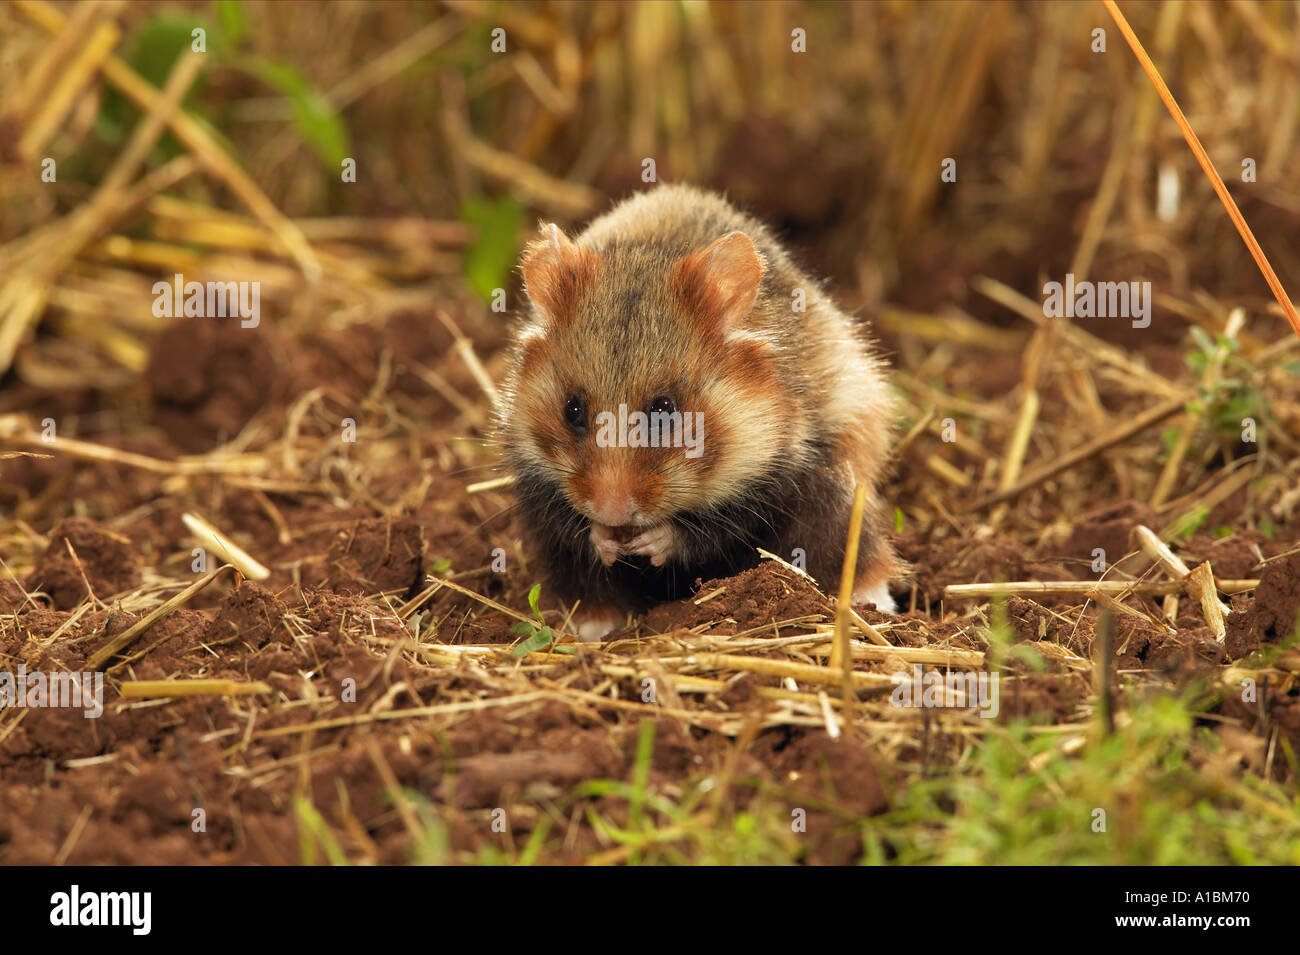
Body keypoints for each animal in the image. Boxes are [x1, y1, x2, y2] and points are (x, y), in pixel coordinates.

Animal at [499, 181, 904, 639]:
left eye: (664, 409)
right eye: (572, 409)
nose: (611, 513)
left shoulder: (771, 480)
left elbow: (707, 529)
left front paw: (648, 541)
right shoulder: (540, 489)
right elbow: (577, 533)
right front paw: (605, 538)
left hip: (837, 486)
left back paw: (875, 606)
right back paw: (592, 627)